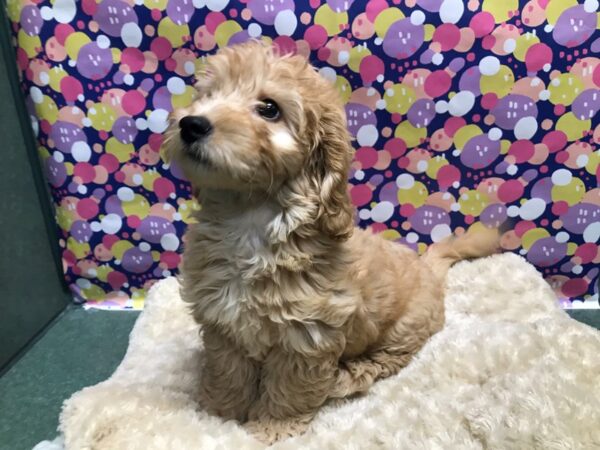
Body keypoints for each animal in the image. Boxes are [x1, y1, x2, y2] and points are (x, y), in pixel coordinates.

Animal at [162, 42, 500, 442]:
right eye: (206, 95)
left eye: (269, 108)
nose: (191, 124)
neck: (248, 219)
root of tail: (426, 267)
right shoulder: (222, 325)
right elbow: (227, 372)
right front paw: (218, 415)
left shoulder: (306, 338)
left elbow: (288, 388)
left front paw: (272, 427)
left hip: (404, 327)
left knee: (385, 361)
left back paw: (346, 377)